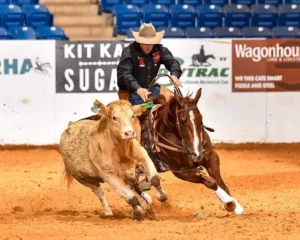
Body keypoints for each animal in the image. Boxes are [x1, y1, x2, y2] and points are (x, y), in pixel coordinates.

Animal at [139, 74, 245, 214]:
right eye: (183, 121)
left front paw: (236, 206)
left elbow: (220, 182)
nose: (197, 153)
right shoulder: (182, 172)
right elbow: (211, 182)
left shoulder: (211, 157)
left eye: (201, 119)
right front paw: (229, 203)